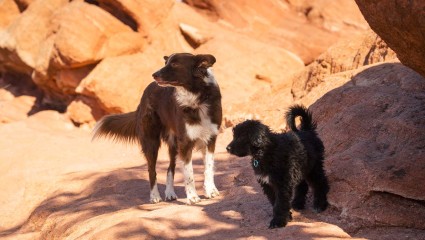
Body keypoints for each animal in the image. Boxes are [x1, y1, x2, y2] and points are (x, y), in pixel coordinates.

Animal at [93, 52, 222, 204]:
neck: (197, 97)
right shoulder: (185, 143)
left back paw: (170, 193)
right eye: (166, 63)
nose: (154, 75)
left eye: (175, 64)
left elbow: (209, 168)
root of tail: (145, 94)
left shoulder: (210, 139)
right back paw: (155, 196)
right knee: (152, 170)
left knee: (170, 168)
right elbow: (189, 173)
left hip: (174, 145)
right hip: (151, 143)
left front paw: (211, 191)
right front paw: (192, 197)